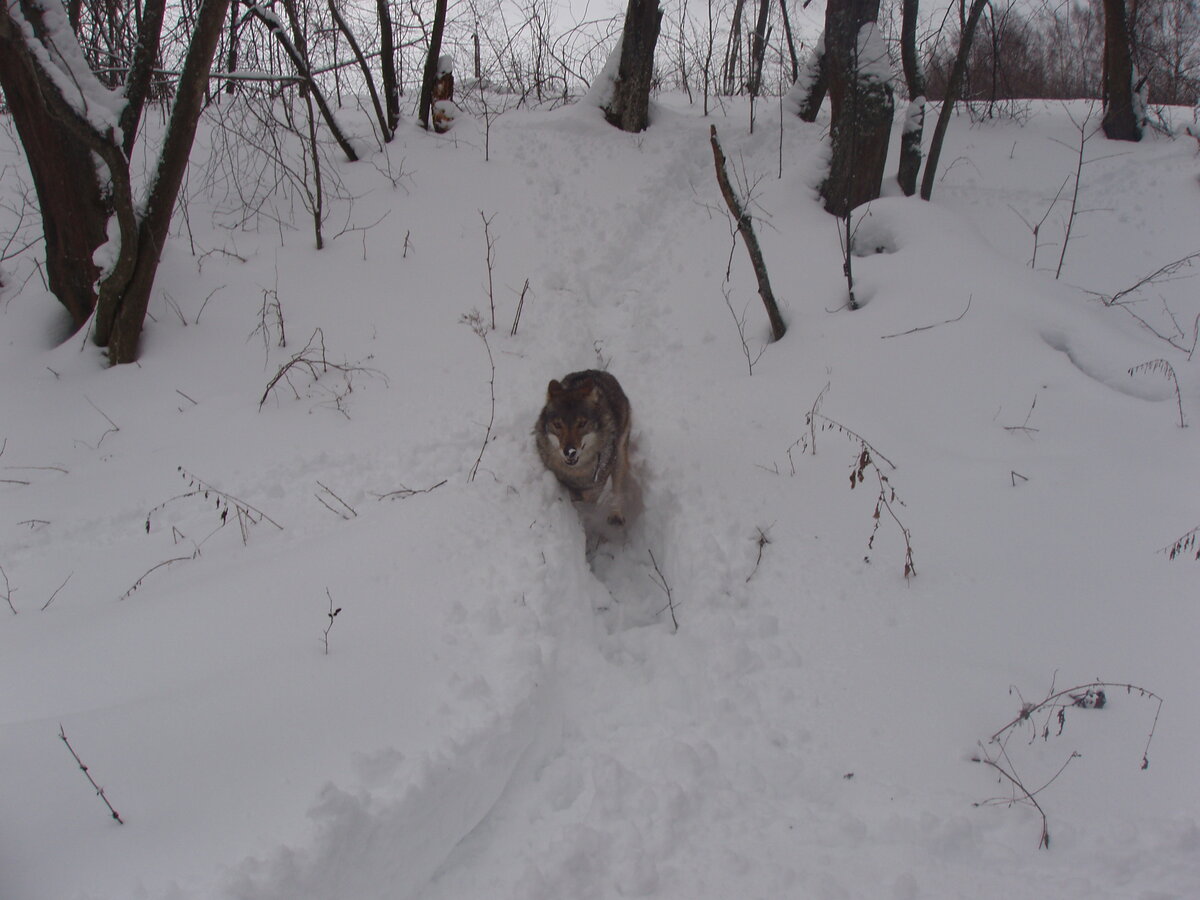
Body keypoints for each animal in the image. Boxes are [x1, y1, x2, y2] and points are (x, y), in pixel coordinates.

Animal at [537, 369, 633, 528]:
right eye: (558, 425)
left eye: (581, 424)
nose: (569, 451)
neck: (577, 471)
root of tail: (599, 372)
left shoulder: (596, 485)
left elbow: (587, 500)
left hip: (618, 457)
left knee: (617, 488)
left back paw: (616, 515)